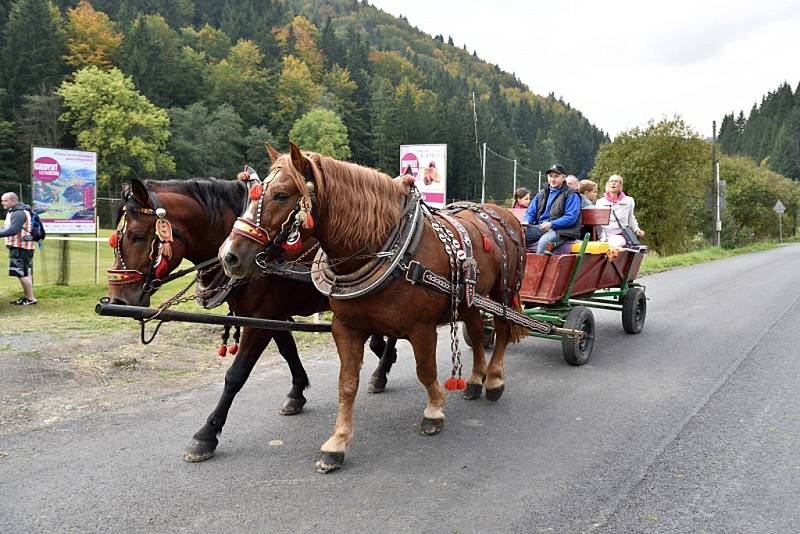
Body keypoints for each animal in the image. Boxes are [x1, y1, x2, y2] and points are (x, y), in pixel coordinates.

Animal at [104, 178, 398, 462]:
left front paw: (206, 434)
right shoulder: (271, 315)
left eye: (137, 236)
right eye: (115, 240)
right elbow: (288, 350)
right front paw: (296, 393)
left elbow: (237, 374)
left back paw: (382, 369)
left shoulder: (261, 316)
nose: (118, 300)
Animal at [222, 142, 528, 474]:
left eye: (280, 195)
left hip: (503, 291)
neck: (386, 247)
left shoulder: (422, 329)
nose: (229, 256)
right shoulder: (345, 327)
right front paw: (337, 443)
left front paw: (434, 410)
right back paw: (474, 380)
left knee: (501, 330)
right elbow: (346, 384)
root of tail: (501, 213)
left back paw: (494, 379)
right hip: (472, 297)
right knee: (475, 327)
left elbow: (425, 371)